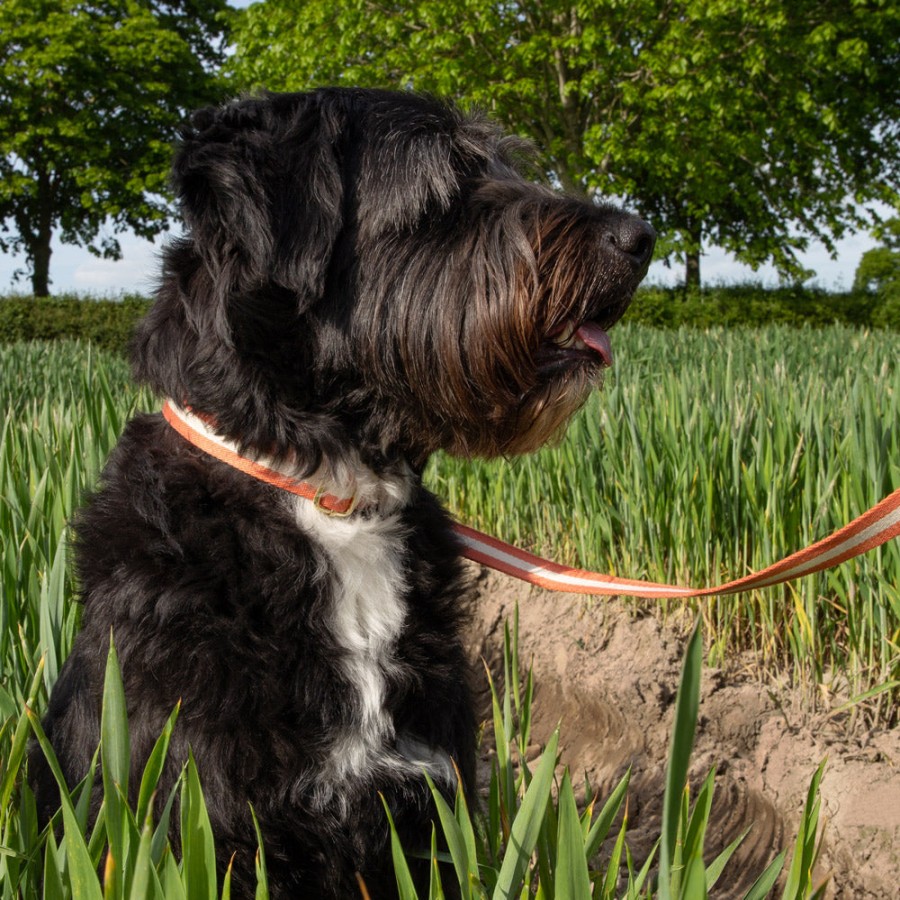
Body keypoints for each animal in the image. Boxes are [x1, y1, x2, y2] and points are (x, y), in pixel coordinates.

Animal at [31, 88, 652, 896]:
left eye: (506, 164)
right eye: (447, 180)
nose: (640, 238)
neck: (330, 495)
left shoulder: (426, 808)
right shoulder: (199, 821)